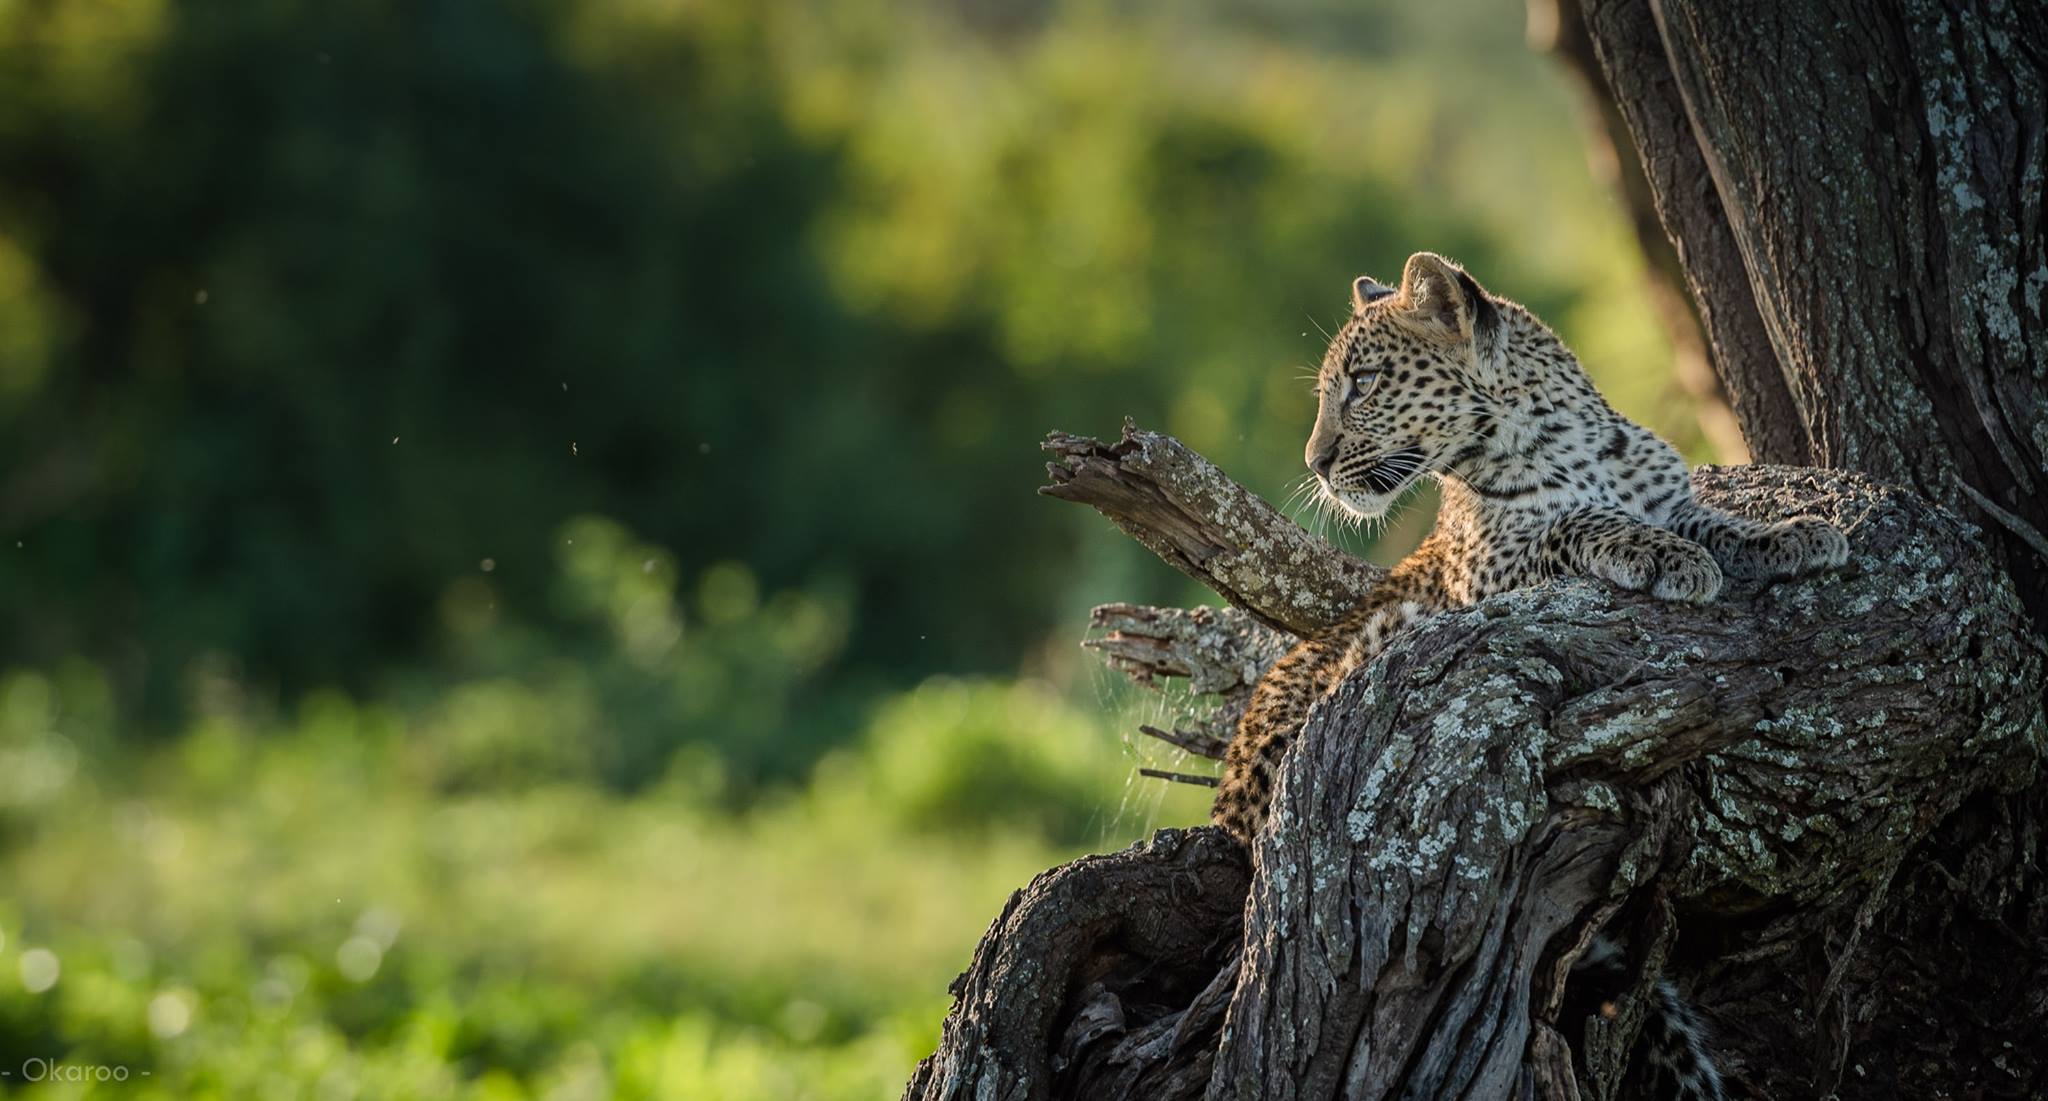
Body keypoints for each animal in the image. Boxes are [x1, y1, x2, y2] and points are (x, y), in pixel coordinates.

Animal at [1204, 252, 1851, 1096]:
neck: (1562, 437)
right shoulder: (1491, 568)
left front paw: (1796, 535)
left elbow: (1717, 523)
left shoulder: (1668, 498)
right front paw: (1665, 556)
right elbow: (1575, 521)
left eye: (1364, 382)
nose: (1315, 462)